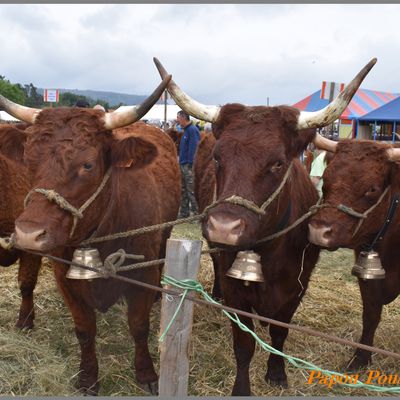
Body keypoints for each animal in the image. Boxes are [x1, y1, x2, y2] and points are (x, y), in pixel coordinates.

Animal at [0, 76, 180, 396]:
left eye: (88, 165)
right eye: (28, 161)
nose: (29, 234)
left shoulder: (142, 273)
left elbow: (139, 325)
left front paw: (146, 373)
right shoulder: (64, 276)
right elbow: (84, 330)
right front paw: (88, 378)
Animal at [155, 57, 376, 396]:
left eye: (278, 163)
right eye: (218, 158)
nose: (223, 227)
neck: (267, 249)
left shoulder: (297, 286)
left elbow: (279, 333)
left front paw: (276, 372)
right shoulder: (236, 290)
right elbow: (243, 344)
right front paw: (242, 387)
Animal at [310, 140, 400, 372]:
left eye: (372, 188)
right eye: (325, 180)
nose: (318, 231)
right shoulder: (367, 274)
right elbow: (370, 314)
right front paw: (360, 358)